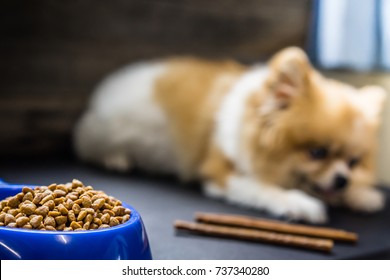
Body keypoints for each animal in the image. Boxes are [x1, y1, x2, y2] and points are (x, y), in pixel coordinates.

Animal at [74, 47, 386, 223]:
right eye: (317, 153)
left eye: (353, 162)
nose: (343, 179)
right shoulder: (223, 173)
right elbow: (266, 189)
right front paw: (300, 203)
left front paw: (361, 194)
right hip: (109, 130)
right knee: (87, 144)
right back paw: (116, 159)